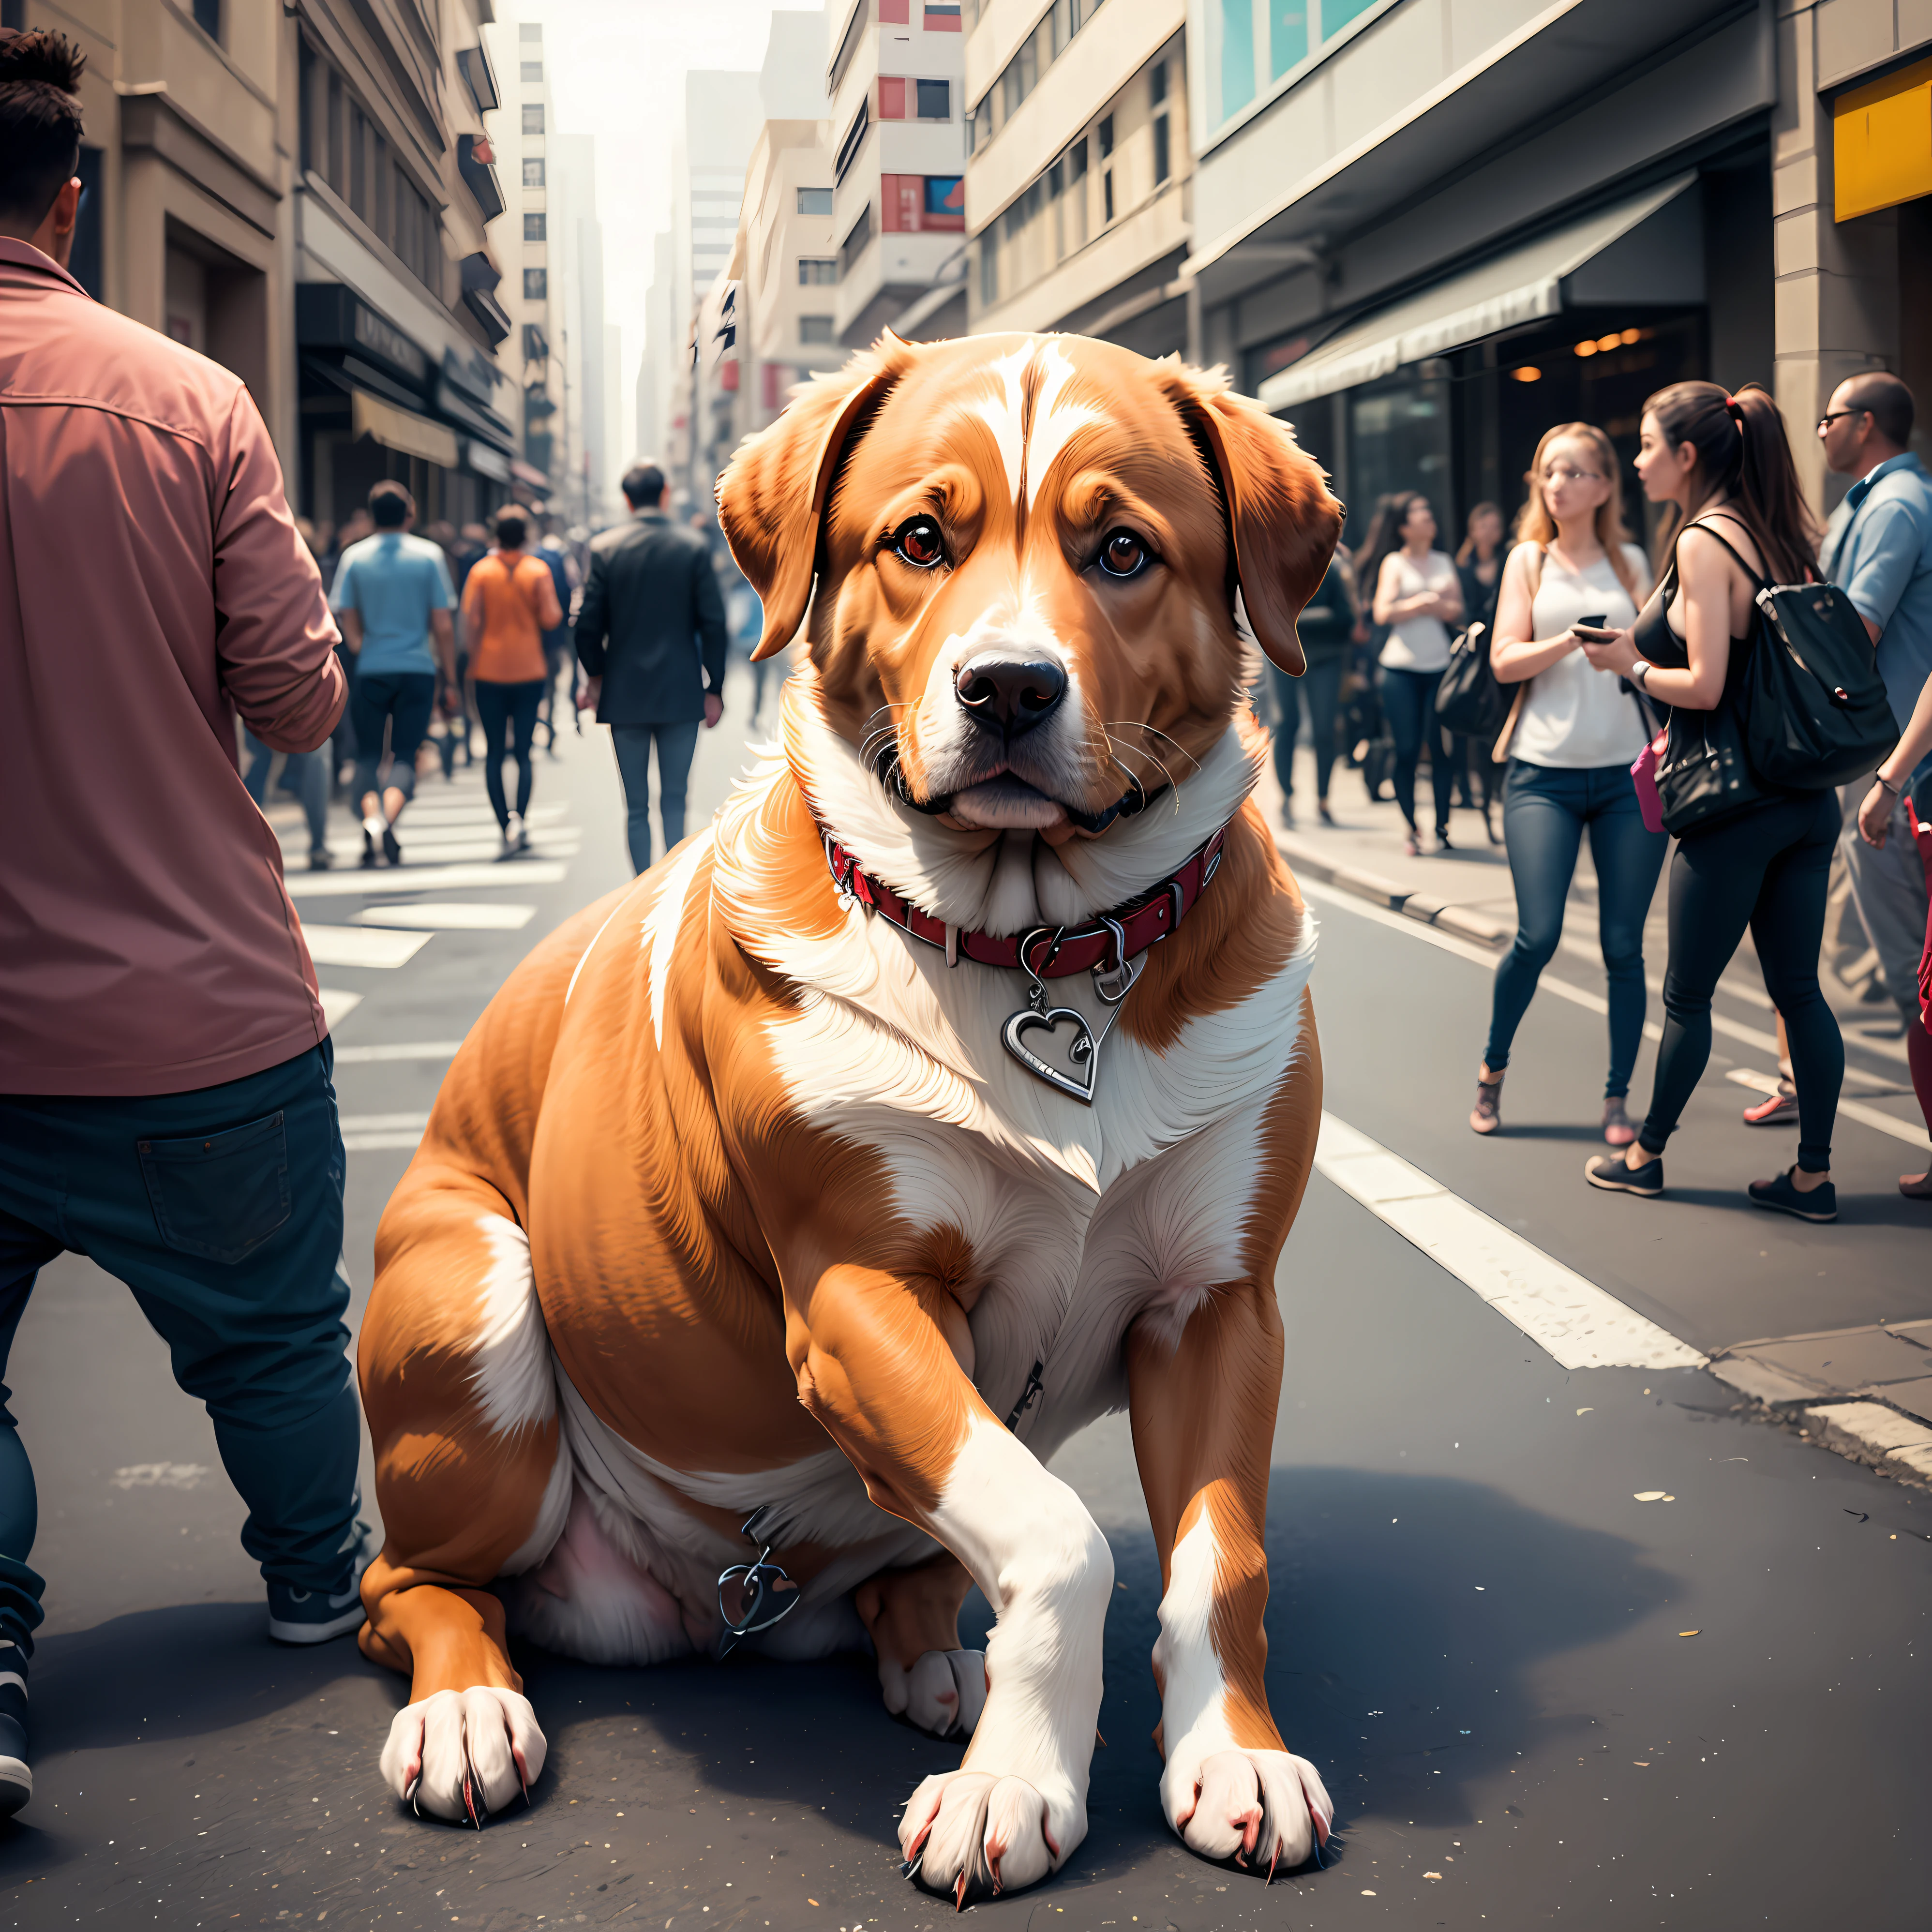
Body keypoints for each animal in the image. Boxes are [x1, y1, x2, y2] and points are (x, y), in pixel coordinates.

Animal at [355, 332, 1337, 1901]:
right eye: (919, 539)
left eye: (1123, 549)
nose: (1007, 688)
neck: (1033, 945)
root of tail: (707, 1609)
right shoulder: (859, 1294)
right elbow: (1061, 1536)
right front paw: (1014, 1783)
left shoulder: (1216, 1305)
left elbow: (1215, 1558)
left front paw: (1229, 1749)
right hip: (476, 1310)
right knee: (413, 1583)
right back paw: (464, 1709)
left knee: (914, 1579)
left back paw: (940, 1662)